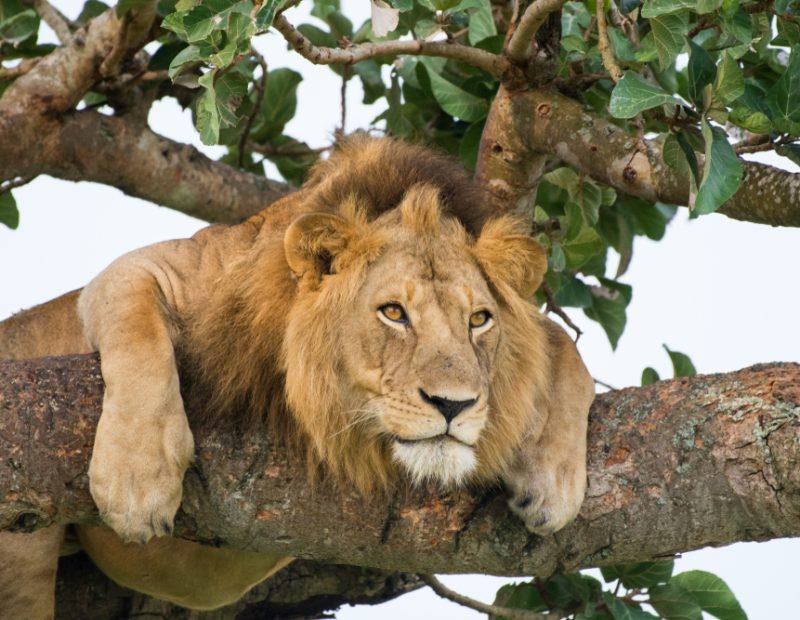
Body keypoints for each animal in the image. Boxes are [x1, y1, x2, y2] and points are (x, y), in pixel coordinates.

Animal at [0, 136, 594, 615]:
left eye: (479, 320)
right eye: (393, 313)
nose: (454, 405)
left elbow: (563, 344)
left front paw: (553, 481)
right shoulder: (143, 271)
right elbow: (137, 330)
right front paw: (137, 480)